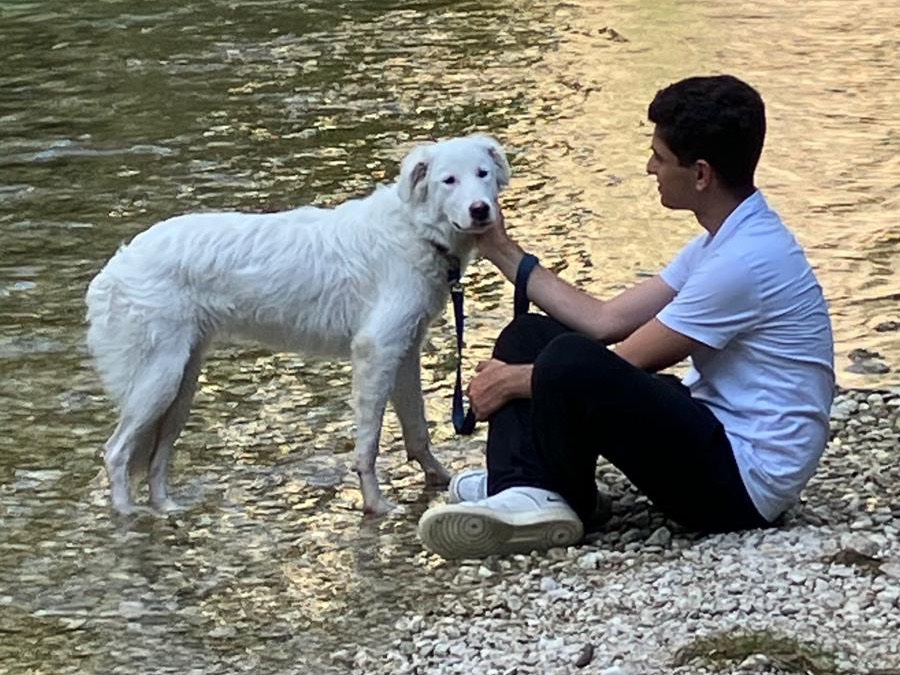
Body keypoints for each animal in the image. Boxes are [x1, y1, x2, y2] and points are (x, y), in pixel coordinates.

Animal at [85, 136, 510, 516]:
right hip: (158, 381)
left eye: (482, 173)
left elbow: (417, 432)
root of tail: (116, 266)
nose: (479, 210)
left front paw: (439, 478)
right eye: (448, 180)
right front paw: (375, 504)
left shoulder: (404, 353)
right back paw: (127, 515)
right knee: (116, 451)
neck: (415, 231)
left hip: (180, 386)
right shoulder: (375, 351)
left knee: (156, 458)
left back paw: (167, 510)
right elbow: (368, 444)